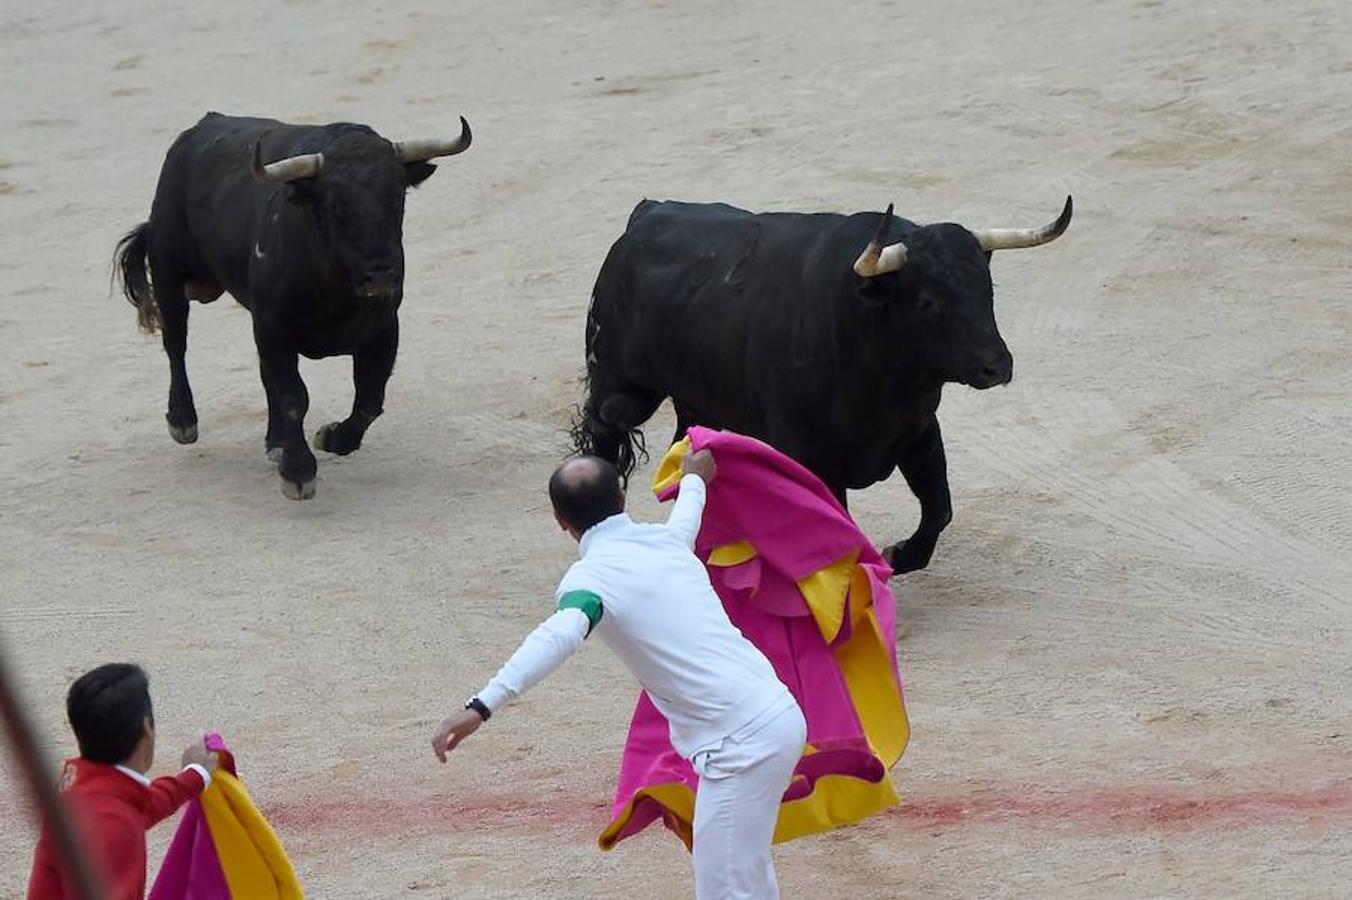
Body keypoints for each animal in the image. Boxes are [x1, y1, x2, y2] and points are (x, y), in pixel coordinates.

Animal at [117, 112, 475, 497]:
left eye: (396, 198)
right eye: (336, 205)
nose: (381, 275)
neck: (335, 291)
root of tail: (203, 126)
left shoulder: (383, 327)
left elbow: (369, 397)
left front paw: (333, 439)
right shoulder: (273, 327)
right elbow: (293, 397)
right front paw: (298, 470)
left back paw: (275, 442)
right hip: (168, 272)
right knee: (176, 344)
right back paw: (183, 420)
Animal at [575, 198, 1070, 567]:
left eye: (987, 289)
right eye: (928, 301)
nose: (997, 365)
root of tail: (646, 214)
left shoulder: (919, 431)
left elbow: (939, 509)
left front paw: (899, 556)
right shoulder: (815, 455)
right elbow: (842, 526)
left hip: (700, 401)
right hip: (621, 388)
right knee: (603, 433)